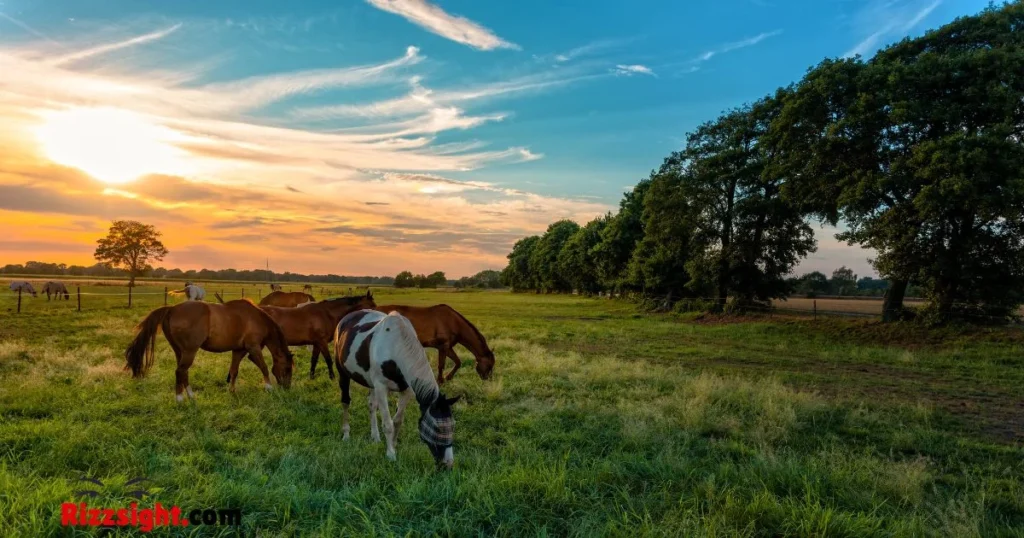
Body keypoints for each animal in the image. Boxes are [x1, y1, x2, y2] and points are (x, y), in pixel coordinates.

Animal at [124, 299, 294, 401]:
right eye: (287, 368)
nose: (287, 388)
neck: (256, 318)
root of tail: (172, 309)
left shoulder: (238, 351)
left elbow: (234, 371)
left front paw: (232, 391)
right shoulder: (253, 348)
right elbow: (264, 367)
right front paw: (269, 388)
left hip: (180, 352)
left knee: (183, 372)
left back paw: (191, 396)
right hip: (190, 351)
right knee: (180, 371)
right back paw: (180, 399)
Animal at [310, 304, 495, 384]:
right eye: (490, 365)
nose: (488, 379)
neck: (452, 321)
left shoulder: (447, 347)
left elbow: (457, 362)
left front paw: (446, 378)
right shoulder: (444, 346)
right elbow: (445, 364)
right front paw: (442, 379)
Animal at [334, 309, 461, 469]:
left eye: (453, 426)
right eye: (437, 428)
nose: (448, 464)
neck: (396, 347)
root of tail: (346, 318)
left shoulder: (406, 390)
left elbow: (398, 420)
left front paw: (393, 445)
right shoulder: (381, 387)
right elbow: (388, 424)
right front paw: (390, 454)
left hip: (371, 383)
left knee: (371, 405)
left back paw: (375, 436)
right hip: (343, 373)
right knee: (345, 402)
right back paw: (346, 434)